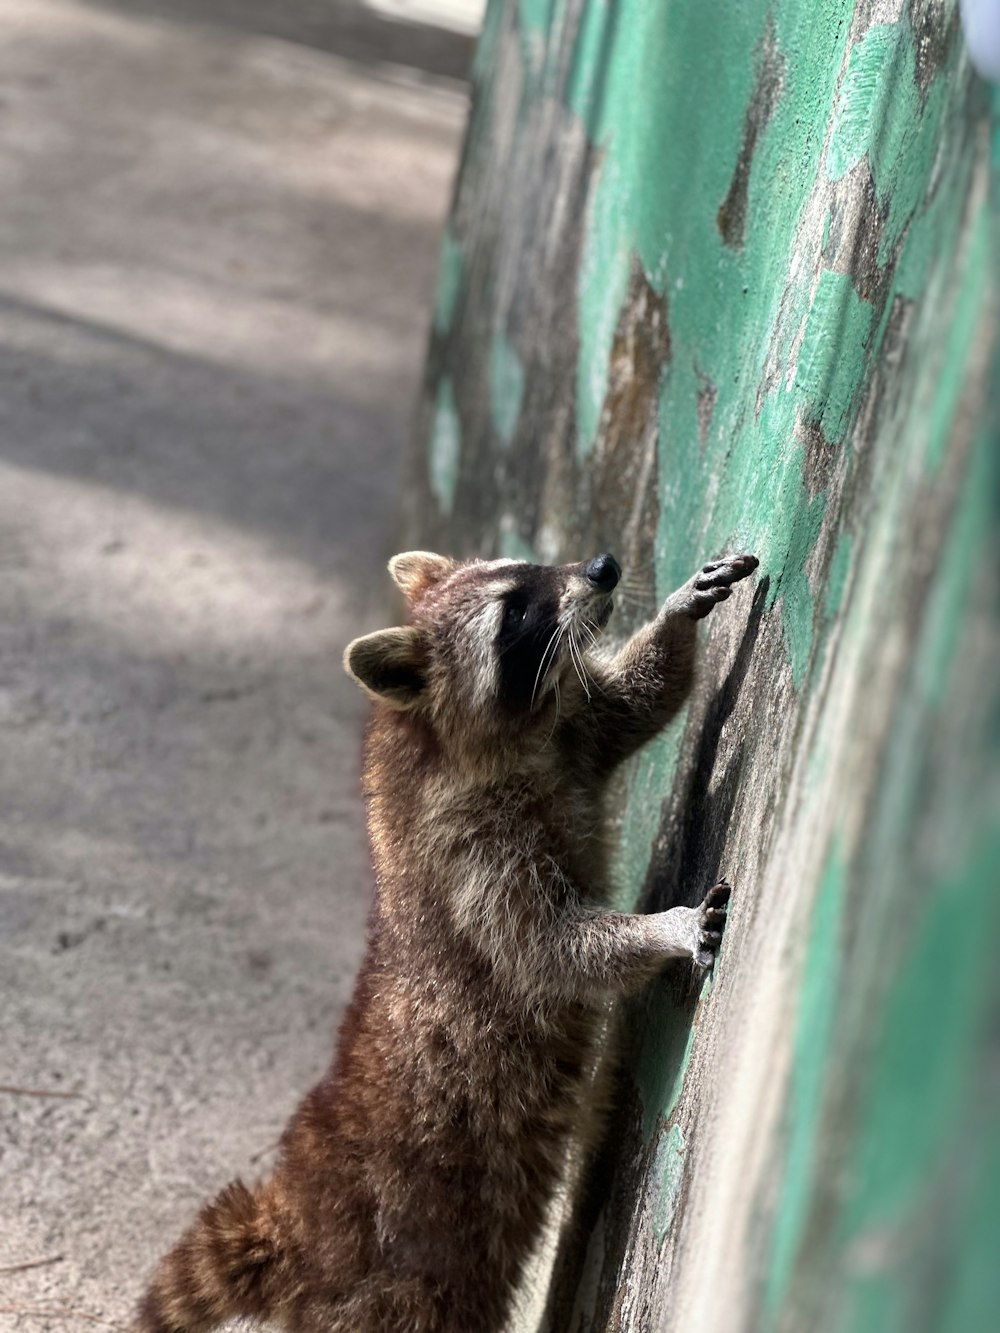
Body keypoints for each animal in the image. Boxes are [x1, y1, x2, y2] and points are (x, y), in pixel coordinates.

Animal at [135, 546, 757, 1327]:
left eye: (529, 569)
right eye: (514, 614)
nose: (603, 567)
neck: (436, 736)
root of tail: (287, 1226)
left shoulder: (569, 731)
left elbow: (634, 706)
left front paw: (677, 613)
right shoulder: (471, 855)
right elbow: (546, 949)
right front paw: (661, 928)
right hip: (400, 1285)